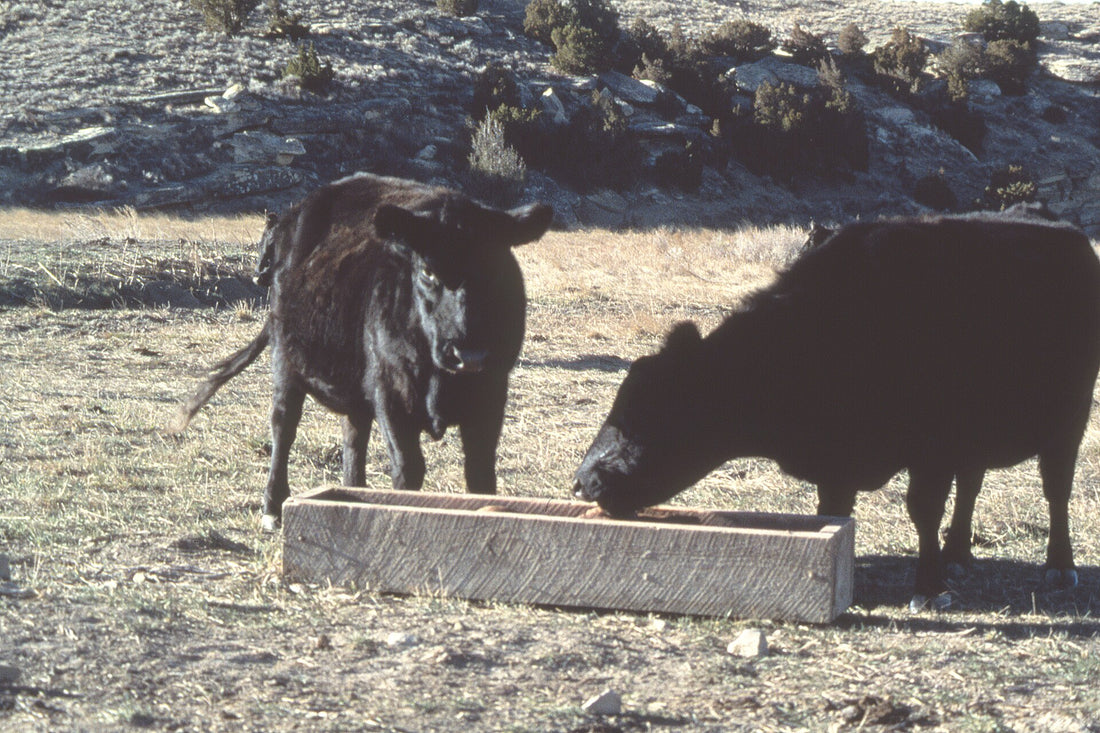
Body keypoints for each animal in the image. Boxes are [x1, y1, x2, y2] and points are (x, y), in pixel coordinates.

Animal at [171, 172, 554, 531]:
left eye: (497, 270)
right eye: (427, 270)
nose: (468, 355)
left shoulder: (492, 394)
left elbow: (480, 473)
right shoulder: (391, 393)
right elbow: (408, 469)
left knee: (353, 439)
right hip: (285, 359)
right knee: (283, 426)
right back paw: (273, 508)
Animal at [573, 213, 1100, 611]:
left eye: (647, 417)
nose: (582, 483)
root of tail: (1067, 235)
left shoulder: (932, 451)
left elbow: (922, 509)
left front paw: (929, 588)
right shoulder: (838, 465)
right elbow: (833, 512)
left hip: (1068, 425)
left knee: (1056, 490)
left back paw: (1059, 566)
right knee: (972, 486)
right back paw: (958, 554)